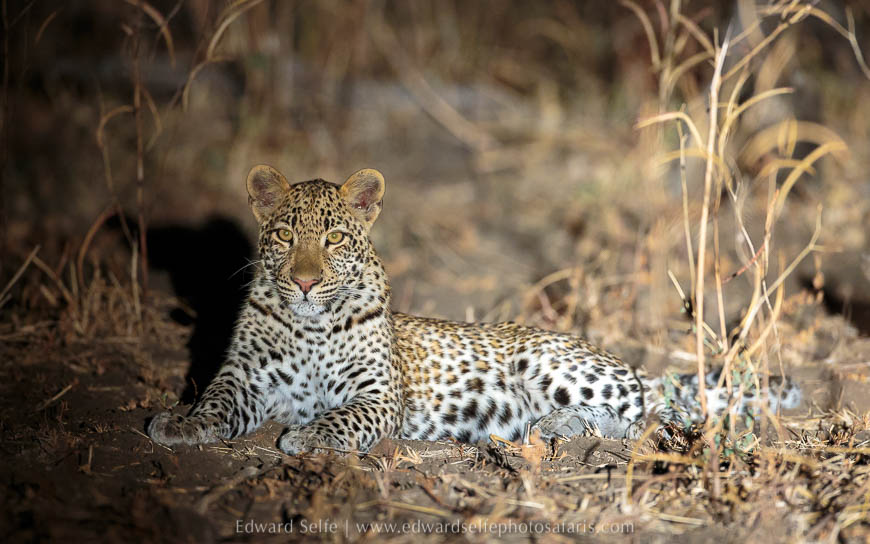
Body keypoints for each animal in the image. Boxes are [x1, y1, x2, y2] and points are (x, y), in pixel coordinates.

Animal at [147, 165, 801, 454]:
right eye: (284, 236)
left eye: (333, 239)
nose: (305, 282)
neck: (310, 326)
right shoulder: (244, 378)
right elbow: (215, 401)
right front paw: (180, 423)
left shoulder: (377, 396)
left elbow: (343, 418)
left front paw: (307, 437)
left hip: (549, 364)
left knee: (641, 415)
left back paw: (555, 426)